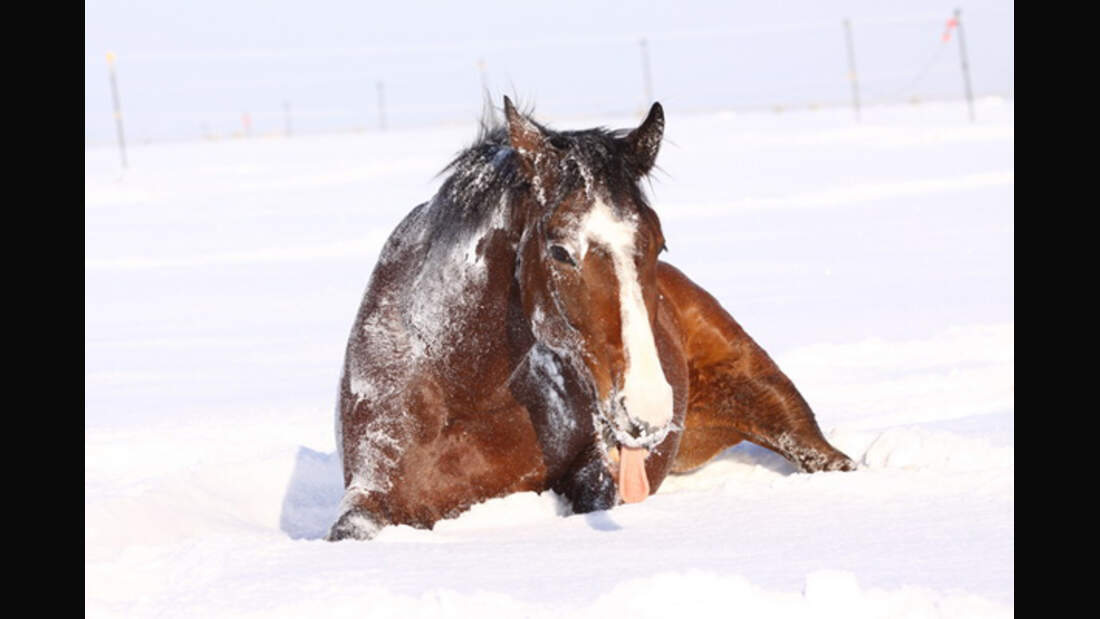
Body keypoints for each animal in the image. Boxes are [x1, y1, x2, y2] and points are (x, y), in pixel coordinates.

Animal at [325, 97, 849, 543]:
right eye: (560, 250)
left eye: (659, 244)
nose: (649, 413)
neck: (459, 393)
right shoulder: (369, 493)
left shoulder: (600, 463)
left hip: (769, 400)